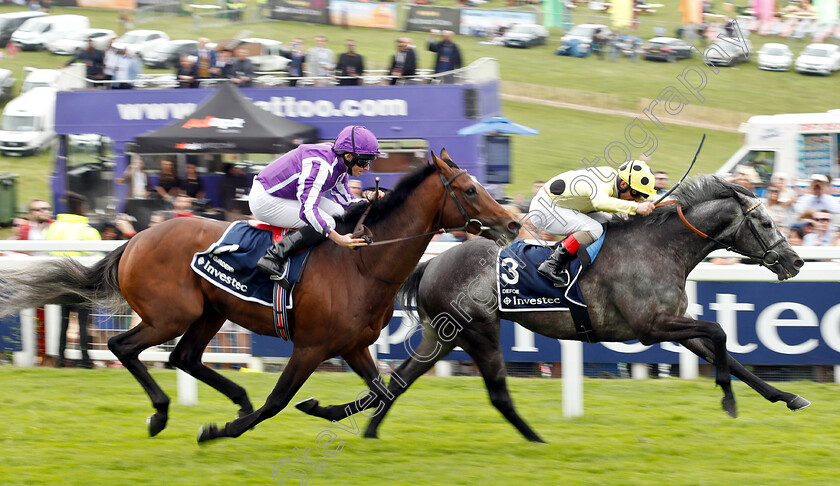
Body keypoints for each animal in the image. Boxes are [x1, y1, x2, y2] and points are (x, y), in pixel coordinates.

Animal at [0, 152, 520, 440]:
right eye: (469, 189)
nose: (513, 222)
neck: (362, 264)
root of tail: (135, 238)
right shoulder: (311, 346)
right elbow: (278, 401)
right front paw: (218, 432)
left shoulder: (352, 345)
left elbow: (382, 391)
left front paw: (321, 409)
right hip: (171, 315)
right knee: (122, 346)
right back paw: (162, 413)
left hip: (208, 313)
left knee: (183, 357)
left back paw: (234, 399)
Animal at [294, 175, 808, 440]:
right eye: (765, 222)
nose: (796, 260)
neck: (660, 248)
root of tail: (433, 261)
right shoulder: (653, 326)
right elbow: (720, 335)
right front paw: (727, 399)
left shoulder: (672, 323)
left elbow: (730, 354)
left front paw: (787, 397)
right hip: (475, 330)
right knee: (456, 385)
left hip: (442, 335)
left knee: (400, 379)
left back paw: (363, 426)